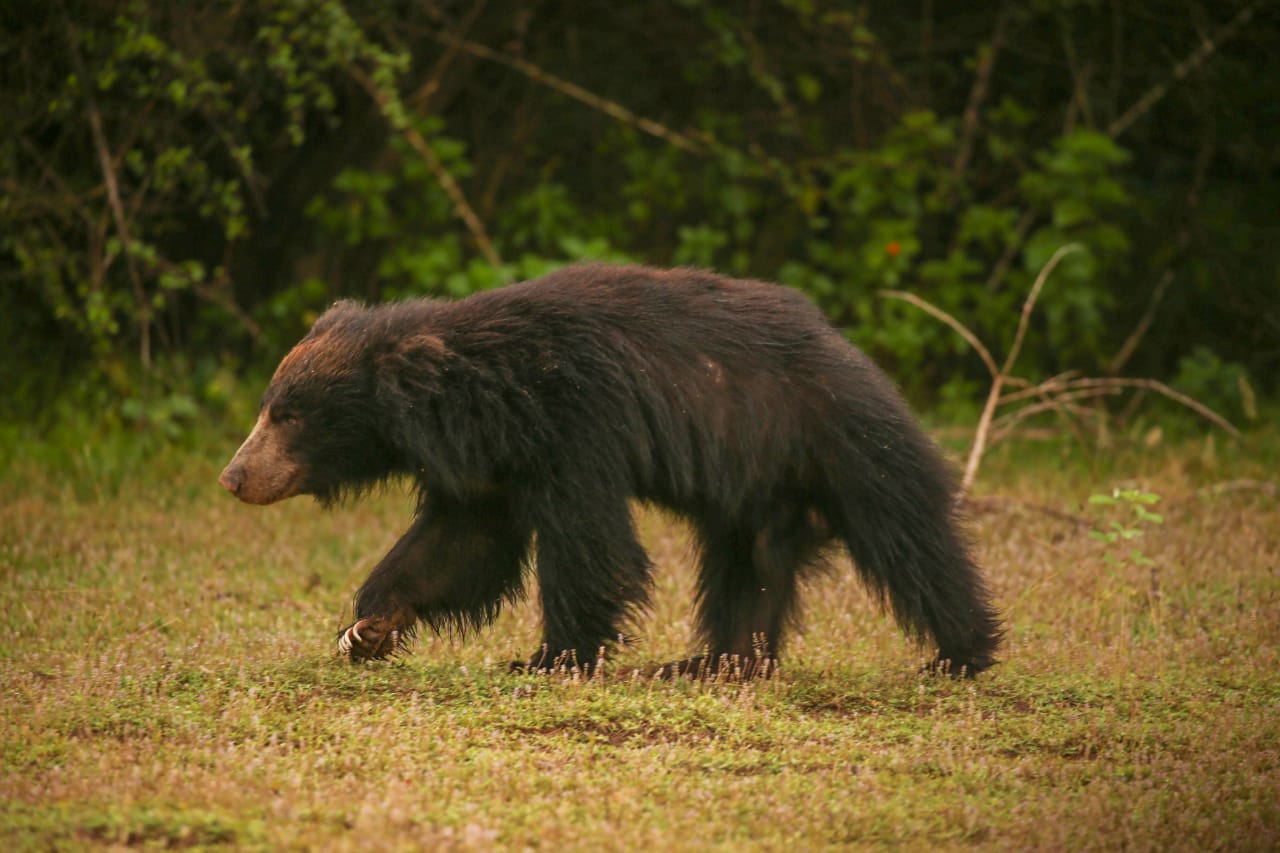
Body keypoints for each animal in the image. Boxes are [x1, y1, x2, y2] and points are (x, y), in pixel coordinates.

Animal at [219, 263, 1002, 677]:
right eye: (268, 406)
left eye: (288, 416)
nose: (233, 477)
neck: (484, 394)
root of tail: (854, 351)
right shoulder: (492, 463)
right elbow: (458, 545)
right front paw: (368, 629)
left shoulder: (577, 422)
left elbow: (589, 542)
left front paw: (547, 658)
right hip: (758, 488)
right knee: (748, 566)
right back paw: (718, 662)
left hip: (839, 437)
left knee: (909, 539)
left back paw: (959, 653)